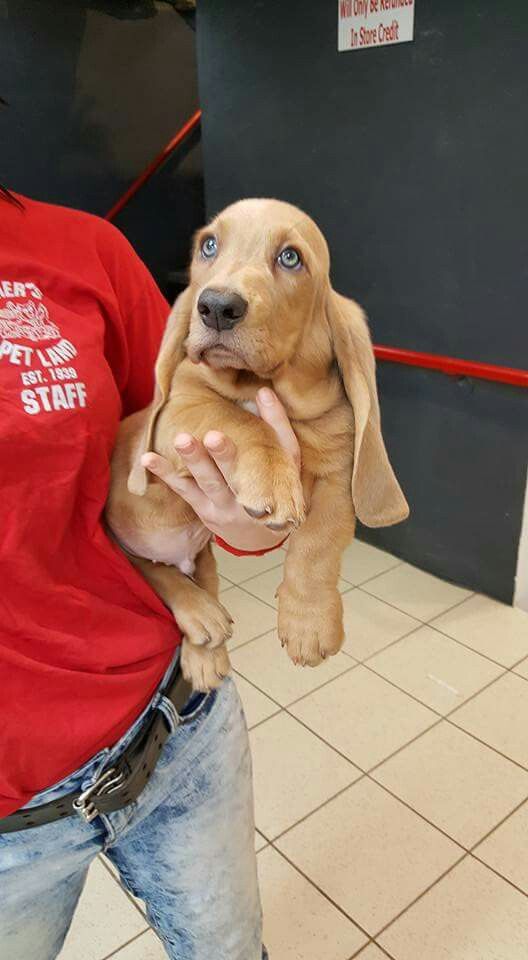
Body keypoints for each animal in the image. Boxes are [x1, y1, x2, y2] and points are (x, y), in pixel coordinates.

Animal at [104, 199, 408, 688]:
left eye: (290, 257)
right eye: (209, 245)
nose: (216, 307)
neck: (263, 386)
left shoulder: (338, 477)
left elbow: (318, 543)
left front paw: (309, 621)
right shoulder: (178, 412)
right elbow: (239, 419)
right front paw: (269, 472)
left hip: (202, 557)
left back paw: (205, 650)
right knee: (150, 568)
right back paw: (200, 615)